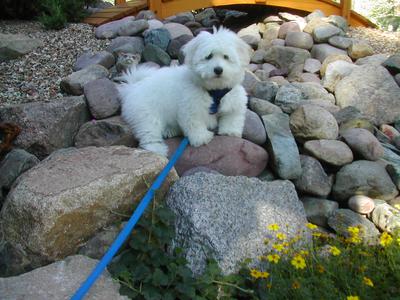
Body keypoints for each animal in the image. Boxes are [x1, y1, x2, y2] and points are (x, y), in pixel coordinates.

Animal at [117, 27, 252, 157]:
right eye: (209, 56)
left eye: (226, 57)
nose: (218, 70)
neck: (214, 90)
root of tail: (132, 87)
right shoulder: (190, 108)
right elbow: (194, 124)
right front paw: (201, 138)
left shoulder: (234, 102)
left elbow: (232, 118)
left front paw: (230, 131)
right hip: (145, 115)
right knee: (148, 133)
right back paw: (157, 149)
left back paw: (170, 130)